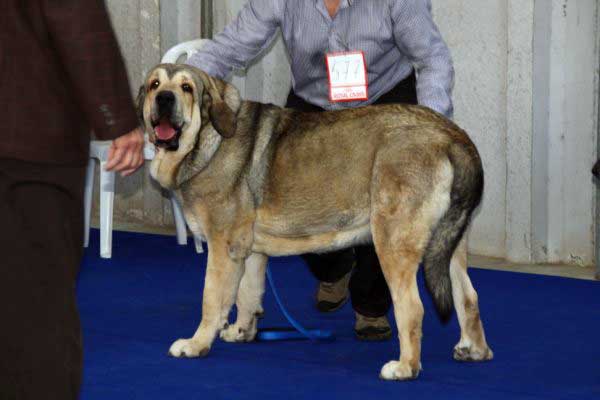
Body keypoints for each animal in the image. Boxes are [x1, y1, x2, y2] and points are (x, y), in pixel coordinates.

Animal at [138, 63, 494, 382]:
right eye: (155, 84)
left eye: (186, 88)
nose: (165, 99)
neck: (207, 139)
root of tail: (452, 136)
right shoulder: (249, 251)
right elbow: (247, 294)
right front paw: (241, 331)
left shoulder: (222, 248)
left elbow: (212, 300)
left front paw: (196, 344)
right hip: (447, 246)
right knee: (468, 297)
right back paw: (473, 349)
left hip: (392, 243)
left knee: (413, 308)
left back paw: (405, 367)